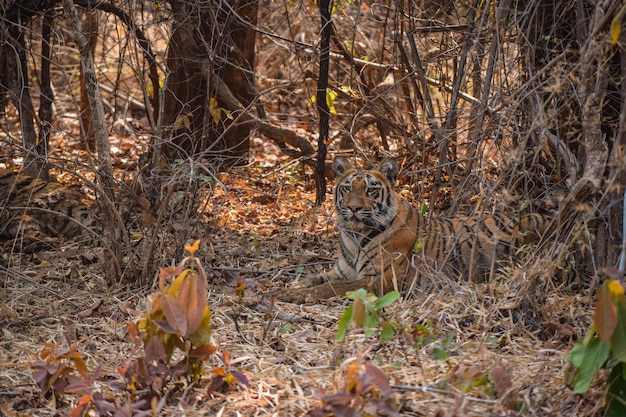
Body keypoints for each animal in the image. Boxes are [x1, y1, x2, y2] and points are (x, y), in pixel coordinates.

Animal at [278, 156, 544, 302]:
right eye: (347, 188)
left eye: (370, 190)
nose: (353, 208)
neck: (355, 235)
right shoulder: (343, 271)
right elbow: (315, 278)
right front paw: (292, 287)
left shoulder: (377, 280)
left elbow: (329, 288)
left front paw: (295, 295)